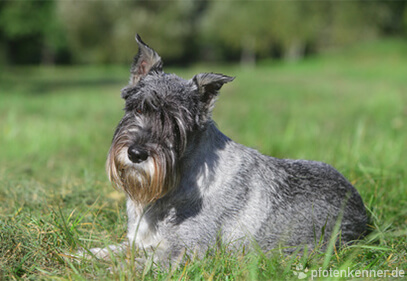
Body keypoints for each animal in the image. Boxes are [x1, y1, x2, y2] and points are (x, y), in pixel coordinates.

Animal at [87, 35, 368, 262]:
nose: (136, 154)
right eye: (138, 108)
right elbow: (110, 251)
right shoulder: (140, 242)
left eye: (176, 125)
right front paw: (83, 255)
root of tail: (363, 210)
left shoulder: (184, 252)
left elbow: (134, 264)